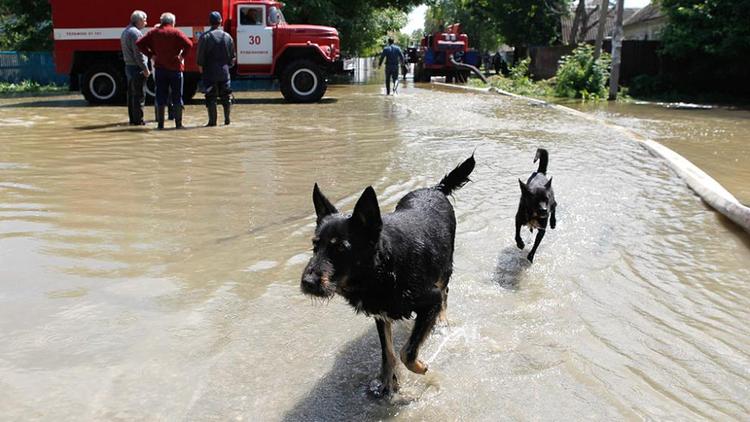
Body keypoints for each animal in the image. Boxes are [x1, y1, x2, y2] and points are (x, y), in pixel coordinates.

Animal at [300, 154, 476, 396]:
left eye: (341, 249)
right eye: (315, 246)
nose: (307, 282)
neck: (382, 271)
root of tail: (436, 188)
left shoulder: (430, 299)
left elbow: (406, 352)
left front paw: (419, 367)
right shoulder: (381, 313)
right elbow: (388, 353)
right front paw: (387, 382)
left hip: (444, 267)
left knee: (445, 292)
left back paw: (441, 321)